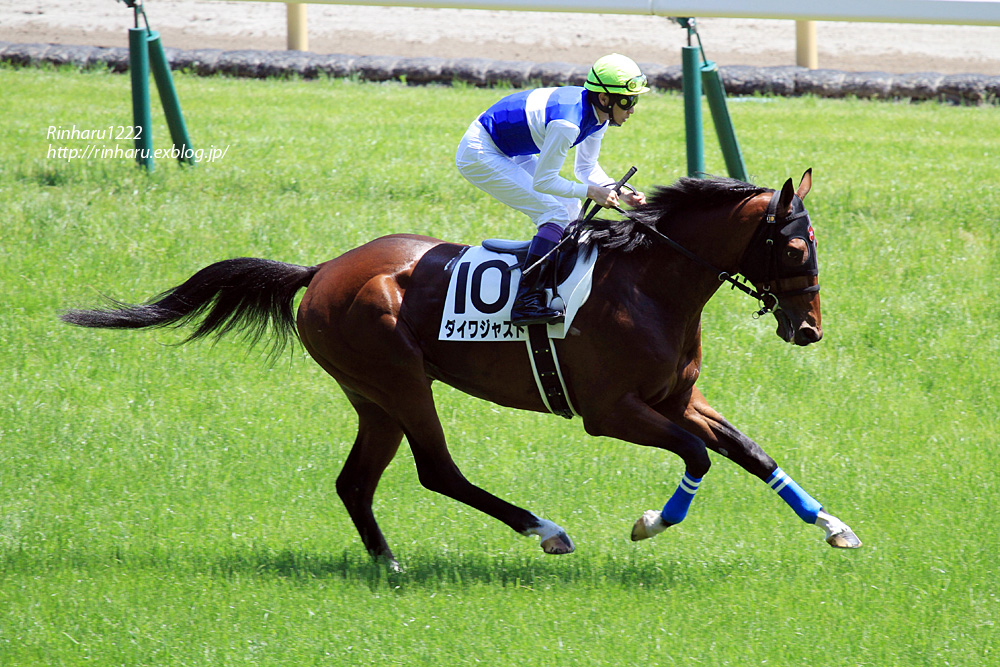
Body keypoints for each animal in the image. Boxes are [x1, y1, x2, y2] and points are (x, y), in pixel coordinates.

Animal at [60, 171, 860, 568]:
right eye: (796, 247)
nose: (809, 328)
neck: (649, 284)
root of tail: (321, 271)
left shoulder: (676, 397)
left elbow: (750, 450)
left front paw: (834, 526)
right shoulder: (611, 413)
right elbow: (699, 455)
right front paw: (651, 523)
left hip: (373, 396)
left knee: (356, 482)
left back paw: (388, 564)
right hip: (399, 377)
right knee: (436, 470)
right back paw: (544, 530)